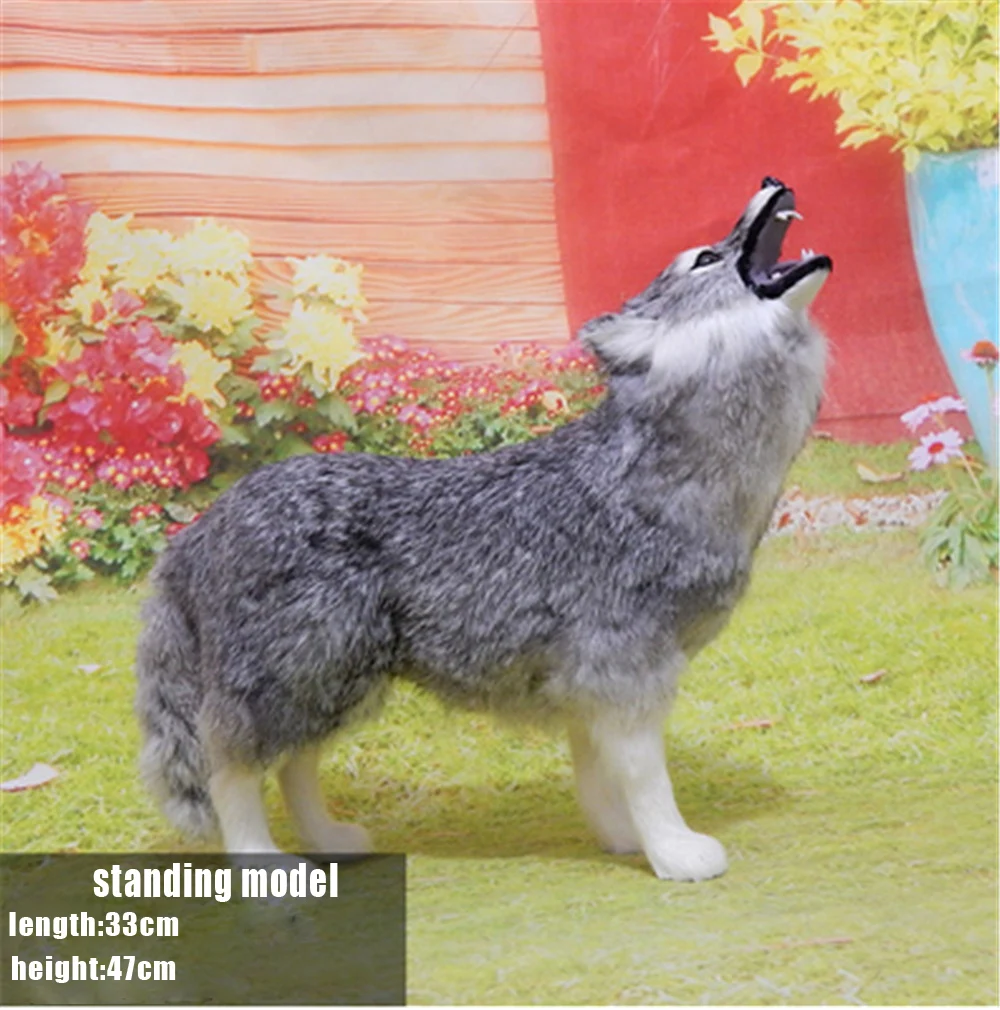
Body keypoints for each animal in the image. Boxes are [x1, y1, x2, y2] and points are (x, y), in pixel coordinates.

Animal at [135, 177, 830, 882]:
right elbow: (643, 778)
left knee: (293, 765)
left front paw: (619, 838)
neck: (652, 476)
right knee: (231, 770)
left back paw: (329, 841)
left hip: (335, 680)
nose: (771, 181)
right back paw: (264, 870)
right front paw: (673, 851)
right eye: (706, 259)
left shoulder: (587, 682)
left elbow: (596, 776)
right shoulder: (624, 668)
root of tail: (199, 531)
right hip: (291, 676)